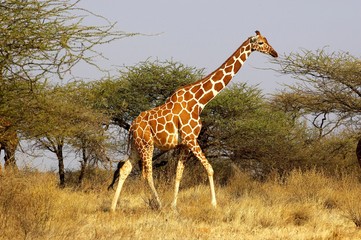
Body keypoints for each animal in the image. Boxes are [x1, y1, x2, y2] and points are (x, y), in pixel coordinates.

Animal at [111, 30, 278, 212]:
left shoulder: (185, 143)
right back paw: (159, 204)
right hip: (147, 144)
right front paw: (214, 204)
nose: (275, 53)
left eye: (267, 40)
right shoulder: (191, 138)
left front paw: (174, 206)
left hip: (137, 145)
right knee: (147, 174)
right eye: (261, 43)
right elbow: (210, 169)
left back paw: (113, 207)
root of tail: (132, 126)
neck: (199, 101)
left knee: (125, 169)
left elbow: (178, 174)